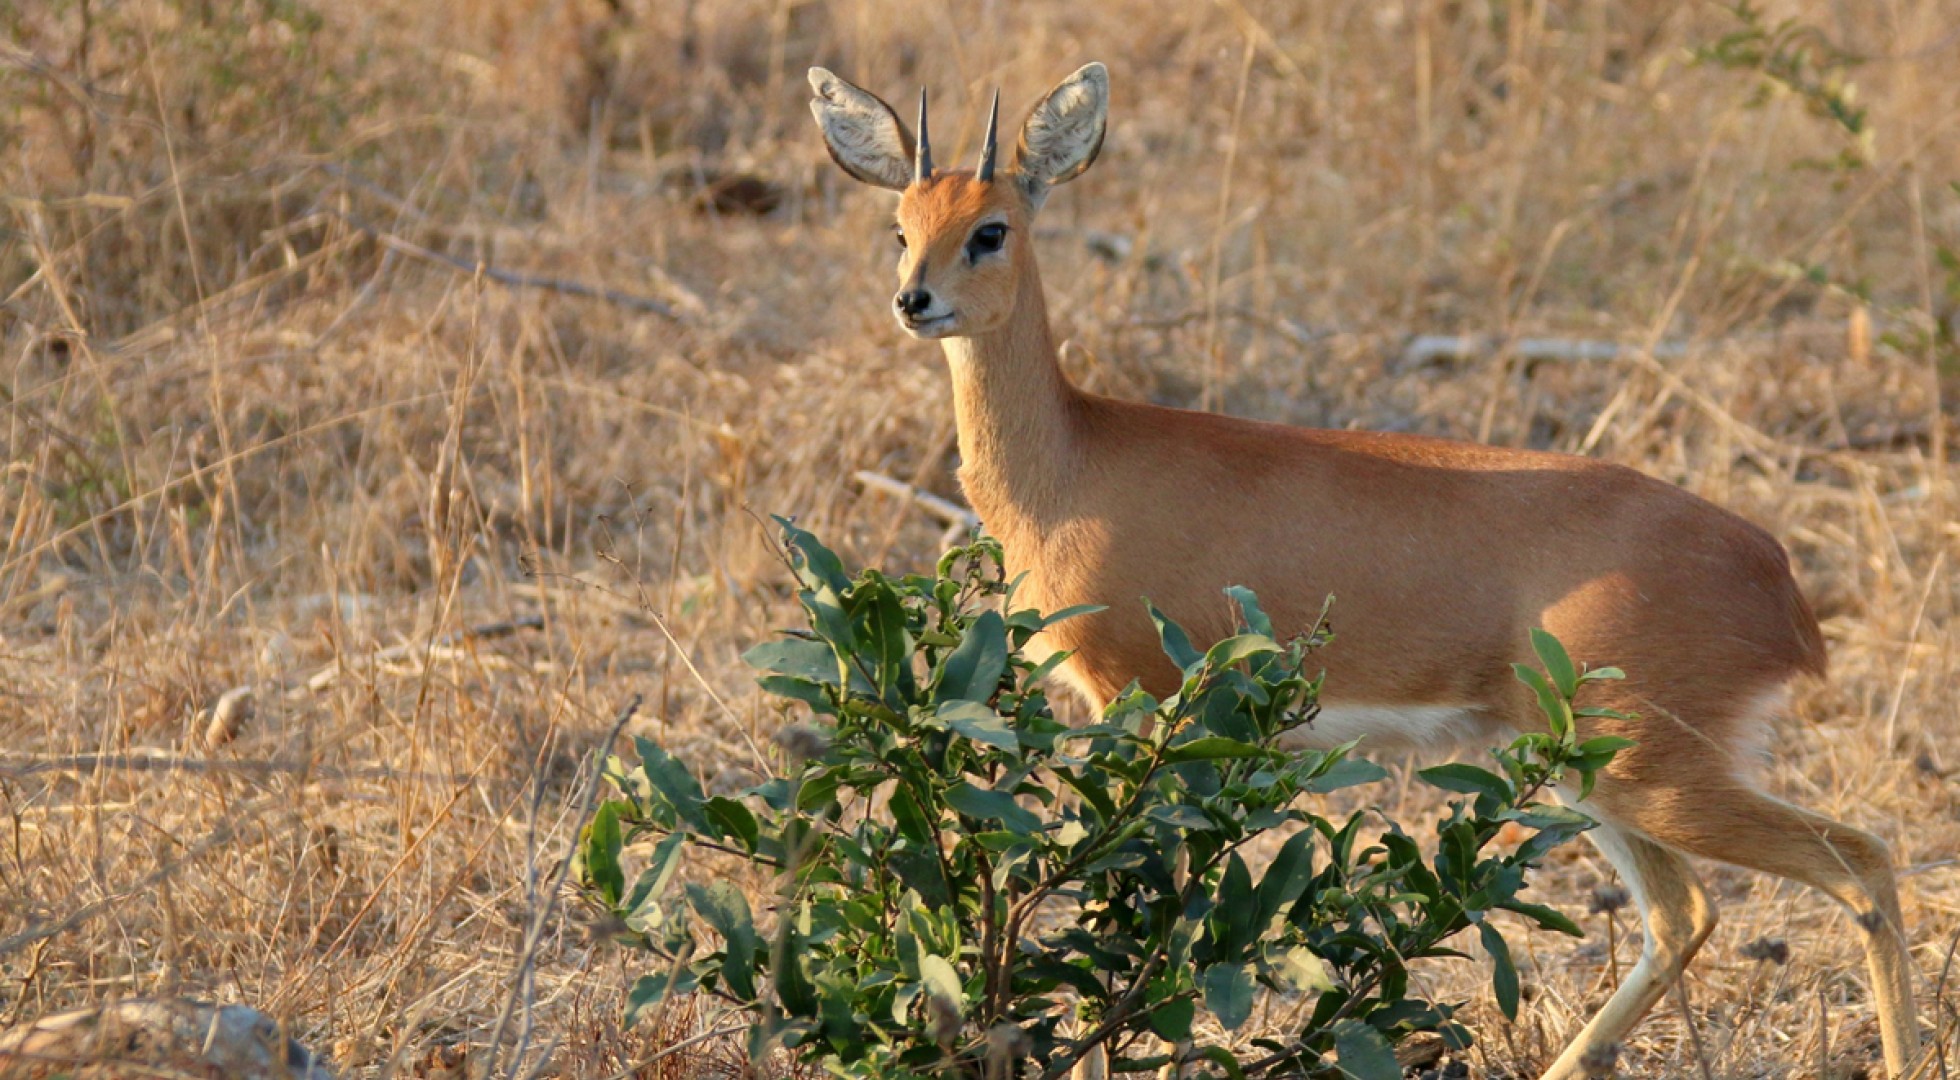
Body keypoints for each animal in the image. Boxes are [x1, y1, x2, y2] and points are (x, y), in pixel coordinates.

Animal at [806, 62, 1920, 1078]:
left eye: (991, 228)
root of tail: (1778, 581)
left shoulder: (1135, 699)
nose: (914, 300)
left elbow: (1121, 904)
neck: (1074, 465)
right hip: (1599, 772)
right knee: (1686, 914)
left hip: (1652, 773)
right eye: (900, 226)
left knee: (1859, 862)